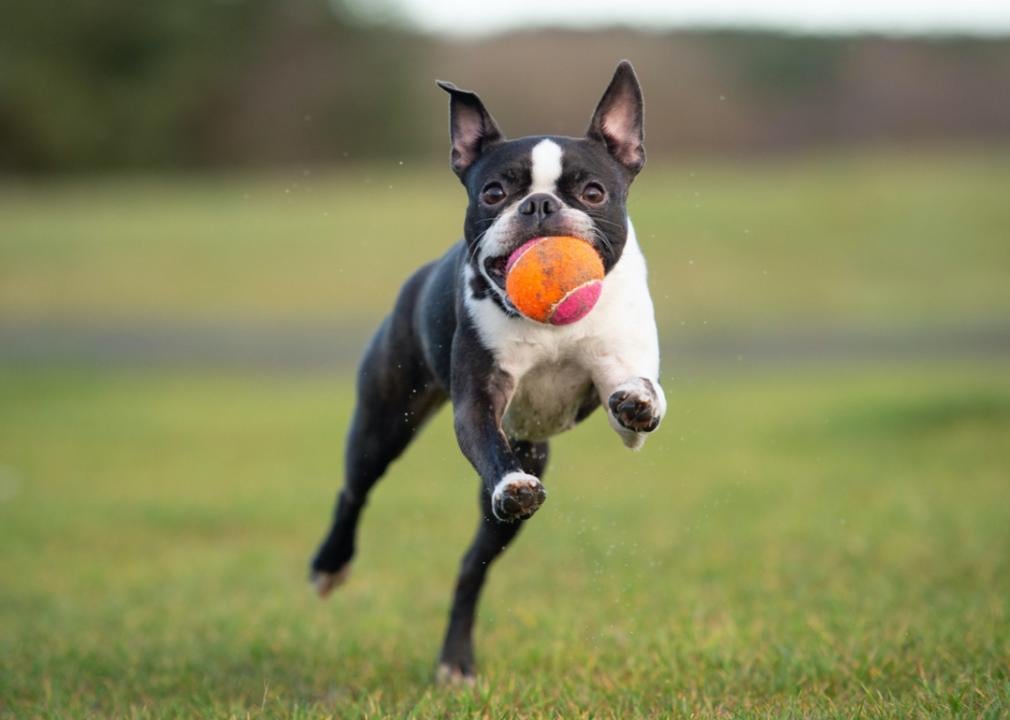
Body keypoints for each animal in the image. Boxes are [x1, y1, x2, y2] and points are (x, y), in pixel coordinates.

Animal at [311, 60, 666, 678]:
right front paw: (512, 483)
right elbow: (486, 441)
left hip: (514, 480)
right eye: (494, 192)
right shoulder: (478, 402)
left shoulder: (621, 372)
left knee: (470, 569)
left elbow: (638, 398)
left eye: (593, 192)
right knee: (355, 489)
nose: (540, 205)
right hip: (385, 421)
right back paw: (332, 565)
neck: (551, 327)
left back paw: (456, 659)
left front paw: (638, 400)